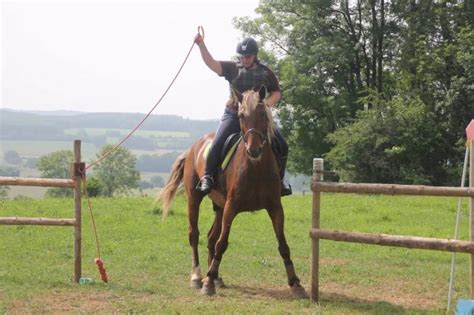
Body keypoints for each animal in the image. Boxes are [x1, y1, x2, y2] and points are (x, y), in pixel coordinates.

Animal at [156, 86, 308, 298]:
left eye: (263, 114)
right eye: (241, 116)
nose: (254, 150)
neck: (255, 168)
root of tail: (193, 147)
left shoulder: (275, 207)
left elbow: (283, 245)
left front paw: (296, 284)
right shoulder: (231, 206)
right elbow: (222, 243)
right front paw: (207, 284)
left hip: (219, 206)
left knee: (210, 237)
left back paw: (216, 277)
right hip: (195, 199)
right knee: (194, 235)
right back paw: (197, 276)